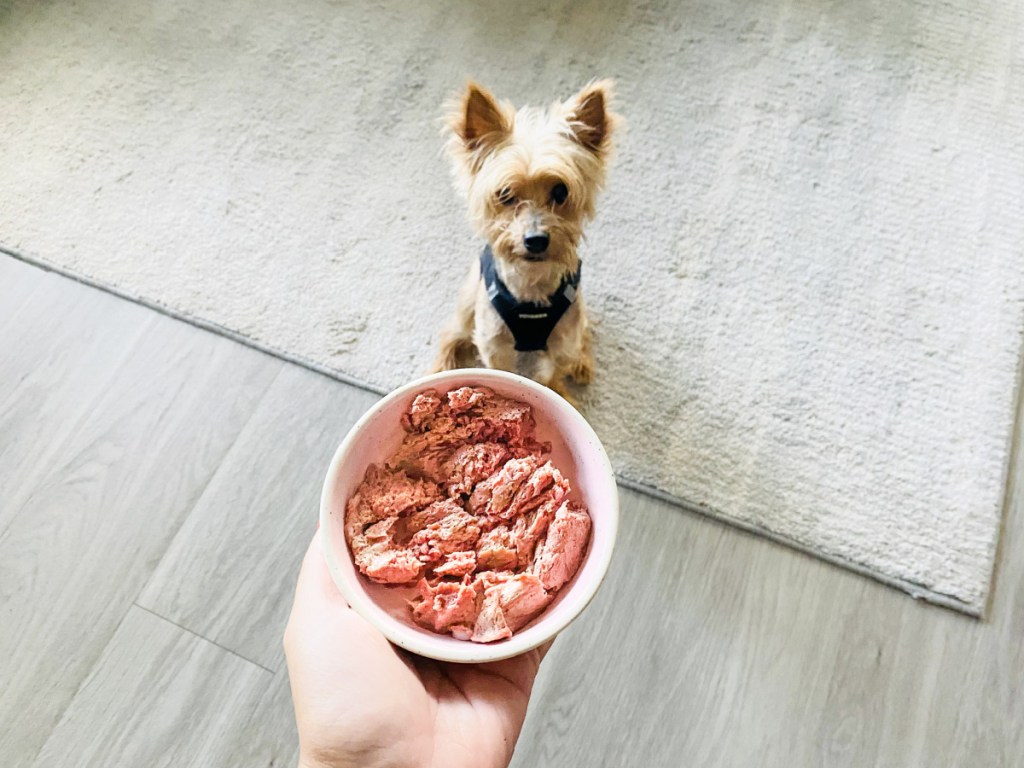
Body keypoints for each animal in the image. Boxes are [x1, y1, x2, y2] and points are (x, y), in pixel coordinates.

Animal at [430, 81, 618, 409]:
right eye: (504, 193)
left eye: (561, 191)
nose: (535, 240)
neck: (531, 291)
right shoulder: (494, 345)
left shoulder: (562, 341)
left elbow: (551, 374)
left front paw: (559, 392)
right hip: (468, 302)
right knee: (452, 332)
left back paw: (582, 361)